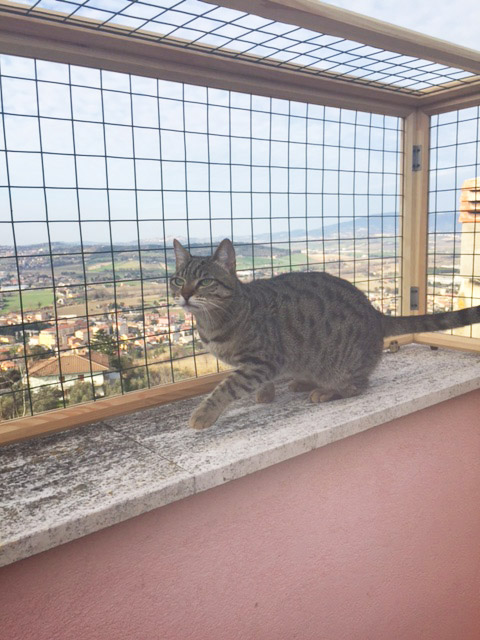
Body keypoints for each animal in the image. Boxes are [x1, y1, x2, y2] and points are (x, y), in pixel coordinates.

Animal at [171, 236, 478, 430]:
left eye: (205, 281)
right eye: (177, 280)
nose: (184, 294)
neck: (215, 319)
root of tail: (375, 314)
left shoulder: (262, 361)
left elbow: (227, 386)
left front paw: (204, 413)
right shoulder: (259, 366)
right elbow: (258, 383)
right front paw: (266, 393)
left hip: (342, 367)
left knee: (357, 387)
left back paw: (325, 391)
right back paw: (302, 382)